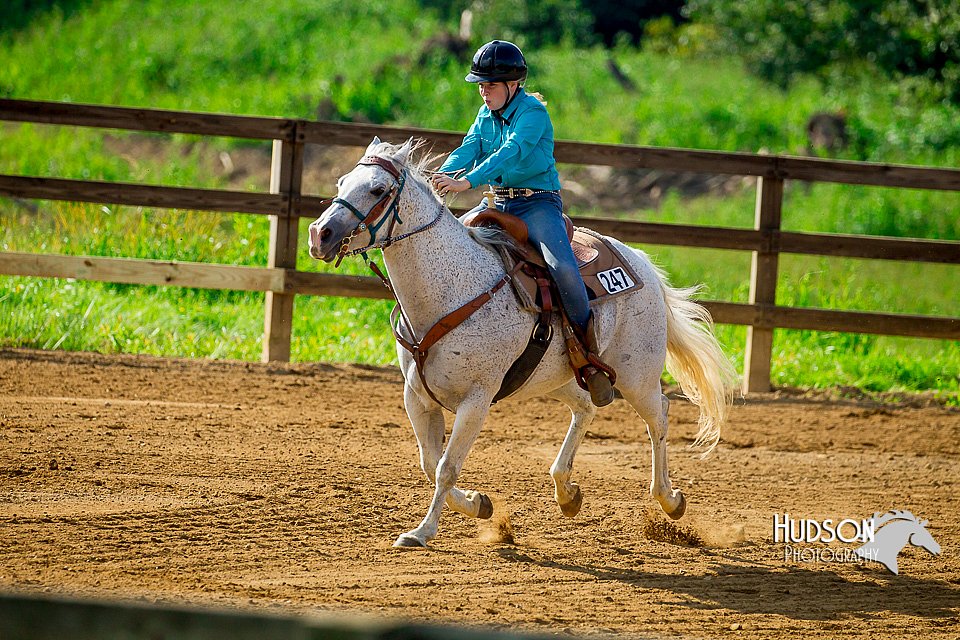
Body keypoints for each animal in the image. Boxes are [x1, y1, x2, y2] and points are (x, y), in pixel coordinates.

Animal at [308, 138, 736, 548]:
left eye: (378, 189)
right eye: (341, 183)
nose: (319, 235)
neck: (452, 290)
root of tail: (641, 262)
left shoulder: (477, 399)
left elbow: (446, 467)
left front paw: (422, 532)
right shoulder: (416, 396)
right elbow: (430, 463)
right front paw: (478, 504)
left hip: (637, 376)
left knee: (658, 416)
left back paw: (670, 499)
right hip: (559, 378)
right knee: (586, 407)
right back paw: (567, 492)